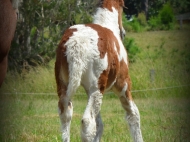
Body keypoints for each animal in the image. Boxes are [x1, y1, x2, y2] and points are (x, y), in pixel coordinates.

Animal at [54, 0, 142, 141]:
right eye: (123, 7)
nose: (123, 32)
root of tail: (77, 44)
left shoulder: (89, 91)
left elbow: (99, 124)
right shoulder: (123, 83)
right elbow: (133, 114)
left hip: (65, 84)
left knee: (66, 114)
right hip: (97, 88)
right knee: (87, 122)